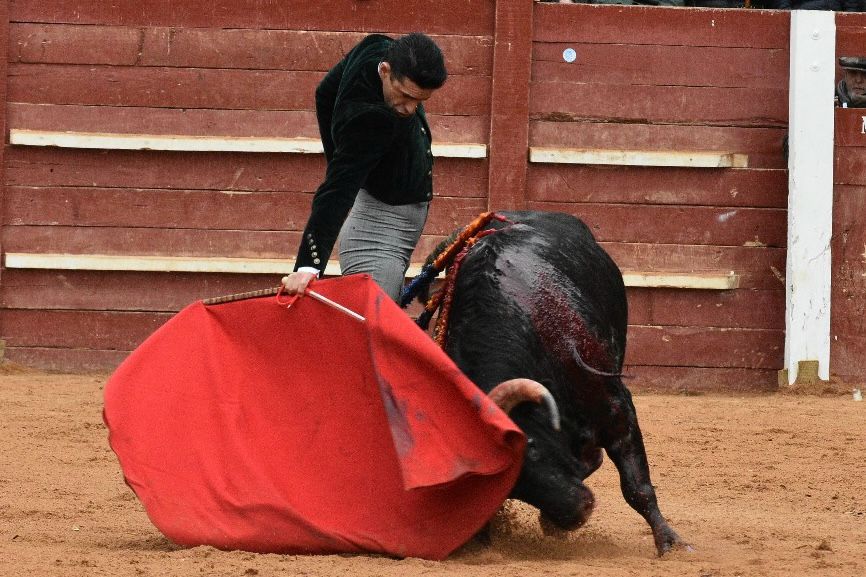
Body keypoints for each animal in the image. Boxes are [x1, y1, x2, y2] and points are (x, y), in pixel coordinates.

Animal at [432, 210, 688, 552]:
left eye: (530, 447)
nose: (578, 513)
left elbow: (637, 487)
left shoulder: (617, 408)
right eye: (505, 487)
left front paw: (671, 543)